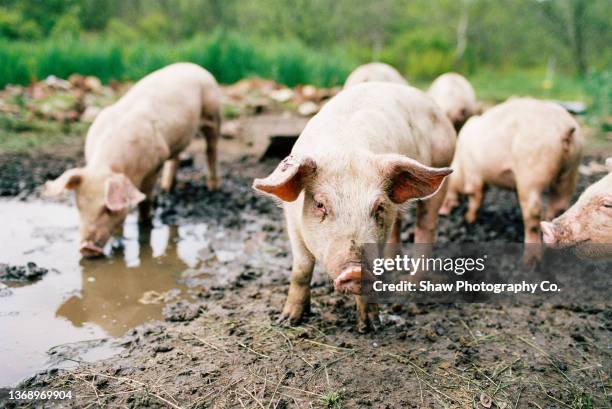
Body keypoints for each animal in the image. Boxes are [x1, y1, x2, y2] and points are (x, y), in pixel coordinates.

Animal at [44, 62, 222, 256]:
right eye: (79, 206)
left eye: (107, 209)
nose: (86, 248)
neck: (110, 166)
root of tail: (194, 65)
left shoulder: (155, 164)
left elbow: (146, 200)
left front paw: (145, 225)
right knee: (177, 157)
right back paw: (167, 189)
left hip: (213, 113)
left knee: (211, 149)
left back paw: (213, 188)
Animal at [252, 81, 454, 330]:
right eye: (320, 204)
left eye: (378, 207)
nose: (357, 270)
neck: (345, 148)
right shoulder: (293, 222)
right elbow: (301, 269)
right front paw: (287, 320)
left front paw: (371, 326)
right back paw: (391, 266)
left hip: (443, 165)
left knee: (426, 225)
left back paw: (411, 284)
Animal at [440, 98, 584, 264]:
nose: (442, 213)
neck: (460, 163)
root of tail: (563, 127)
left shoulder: (474, 174)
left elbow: (475, 197)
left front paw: (469, 219)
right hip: (571, 169)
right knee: (560, 204)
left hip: (532, 172)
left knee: (533, 212)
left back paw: (529, 261)